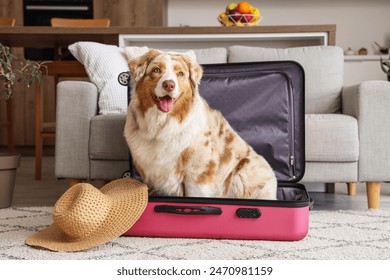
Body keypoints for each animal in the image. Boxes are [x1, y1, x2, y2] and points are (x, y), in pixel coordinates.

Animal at [125, 49, 278, 199]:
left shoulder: (198, 172)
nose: (169, 85)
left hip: (242, 174)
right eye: (156, 70)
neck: (161, 125)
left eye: (180, 73)